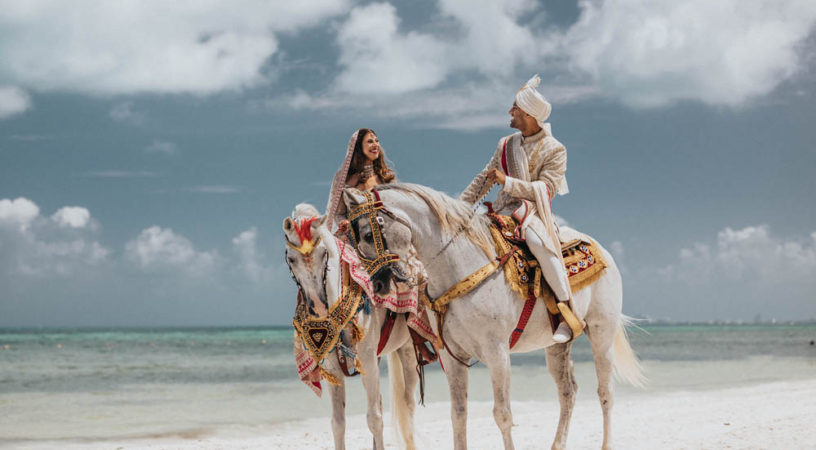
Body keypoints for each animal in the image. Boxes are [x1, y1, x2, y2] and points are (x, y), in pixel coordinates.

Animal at [282, 205, 420, 450]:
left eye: (323, 254)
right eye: (291, 258)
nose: (317, 305)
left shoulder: (367, 362)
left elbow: (374, 419)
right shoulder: (332, 369)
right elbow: (338, 423)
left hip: (407, 351)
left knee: (408, 404)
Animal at [340, 185, 644, 450]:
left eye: (367, 234)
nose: (377, 284)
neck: (460, 267)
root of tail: (604, 252)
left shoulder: (497, 352)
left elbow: (503, 414)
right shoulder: (452, 357)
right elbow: (458, 414)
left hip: (602, 335)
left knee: (605, 393)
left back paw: (607, 444)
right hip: (557, 346)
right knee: (568, 393)